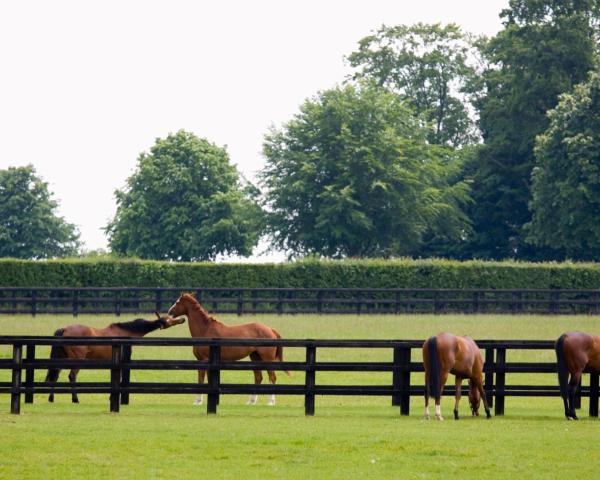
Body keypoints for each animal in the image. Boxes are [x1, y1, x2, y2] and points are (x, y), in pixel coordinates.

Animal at [45, 314, 183, 404]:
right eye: (169, 319)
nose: (182, 319)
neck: (125, 333)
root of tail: (64, 329)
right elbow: (120, 378)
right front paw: (112, 398)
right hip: (77, 360)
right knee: (72, 376)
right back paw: (75, 399)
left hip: (62, 358)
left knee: (55, 375)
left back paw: (51, 398)